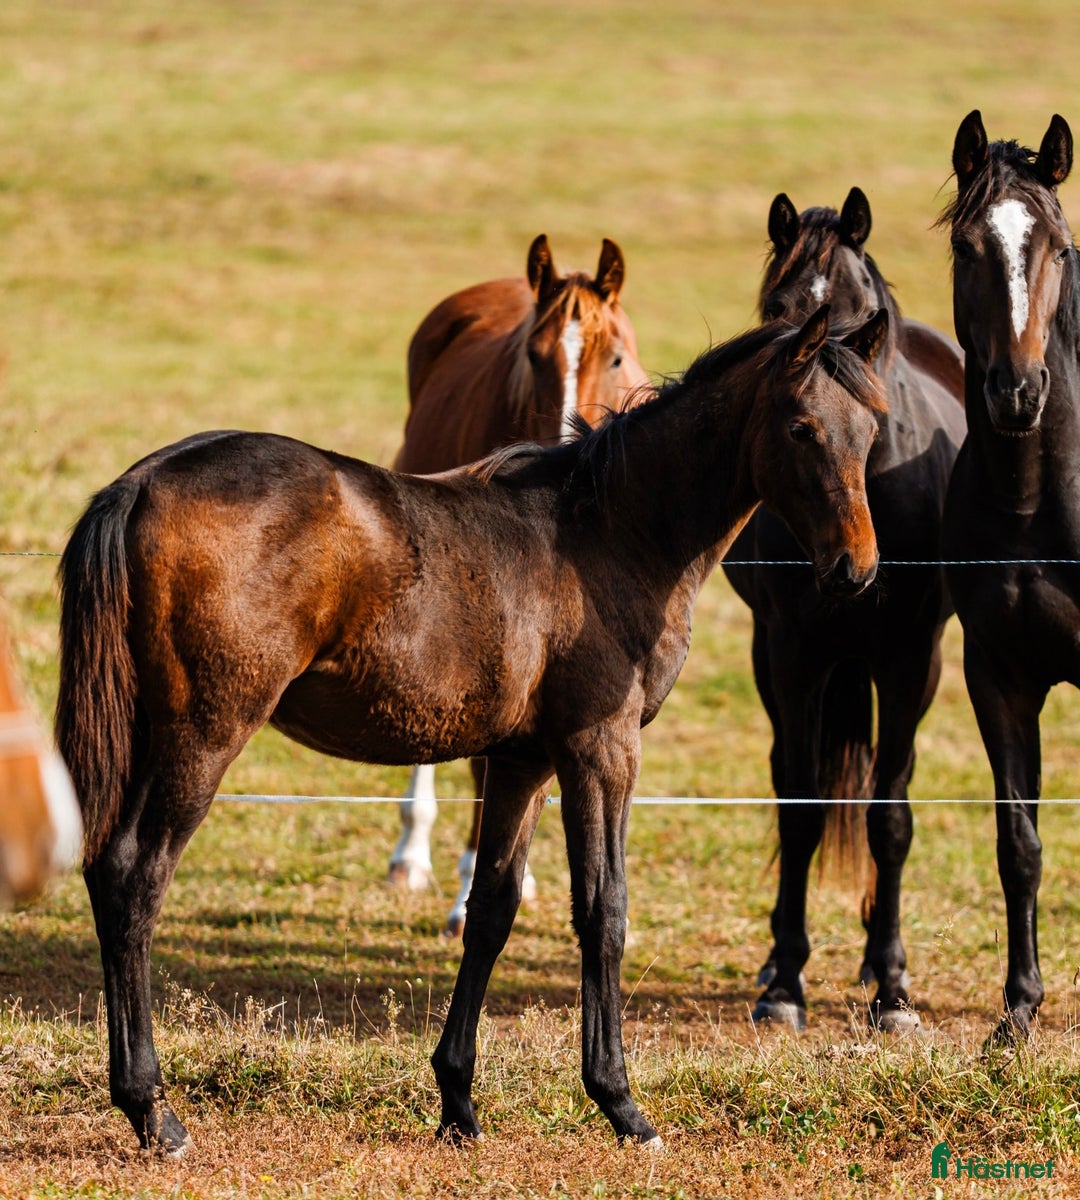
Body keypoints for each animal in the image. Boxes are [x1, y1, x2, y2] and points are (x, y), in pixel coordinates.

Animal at [57, 305, 885, 1157]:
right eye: (801, 427)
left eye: (872, 428)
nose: (856, 569)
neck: (611, 529)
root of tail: (141, 483)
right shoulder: (601, 751)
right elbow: (604, 910)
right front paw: (620, 1102)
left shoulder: (522, 763)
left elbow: (492, 910)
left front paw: (457, 1099)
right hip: (204, 735)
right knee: (135, 877)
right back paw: (155, 1111)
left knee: (106, 869)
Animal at [724, 187, 966, 1032]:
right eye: (778, 310)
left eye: (863, 316)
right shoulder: (793, 650)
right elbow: (799, 807)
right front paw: (785, 986)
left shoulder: (909, 656)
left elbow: (889, 817)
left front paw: (892, 985)